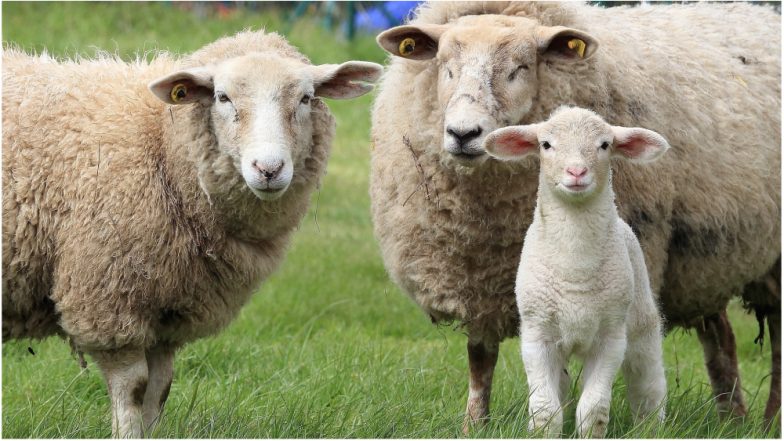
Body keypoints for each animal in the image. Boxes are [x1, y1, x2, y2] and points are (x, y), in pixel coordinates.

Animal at [2, 30, 382, 438]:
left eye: (306, 98)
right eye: (222, 97)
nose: (269, 169)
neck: (161, 143)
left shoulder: (168, 313)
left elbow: (160, 389)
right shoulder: (107, 300)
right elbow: (133, 388)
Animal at [483, 106, 668, 437]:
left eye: (605, 145)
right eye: (545, 144)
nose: (577, 173)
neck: (575, 268)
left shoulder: (611, 337)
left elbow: (593, 411)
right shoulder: (537, 336)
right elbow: (546, 413)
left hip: (640, 322)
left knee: (647, 382)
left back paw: (651, 428)